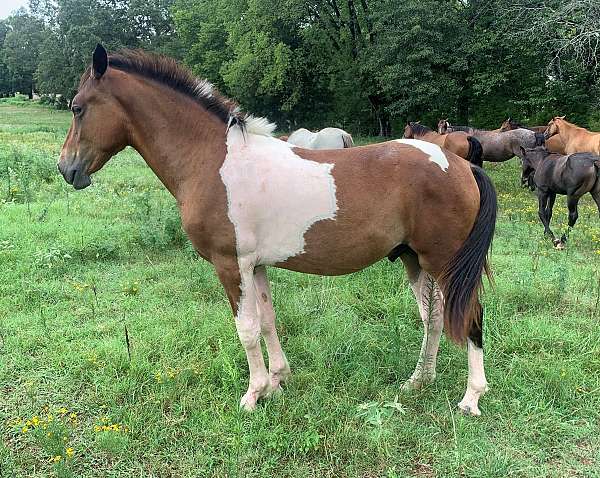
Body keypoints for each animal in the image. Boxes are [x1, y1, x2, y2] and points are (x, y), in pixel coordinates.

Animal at [57, 44, 496, 414]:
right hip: (414, 260)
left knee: (470, 315)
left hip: (444, 262)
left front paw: (253, 395)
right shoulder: (257, 265)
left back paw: (470, 399)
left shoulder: (231, 265)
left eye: (77, 108)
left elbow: (247, 329)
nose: (66, 169)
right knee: (433, 318)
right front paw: (277, 381)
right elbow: (268, 321)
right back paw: (418, 381)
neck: (214, 159)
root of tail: (460, 165)